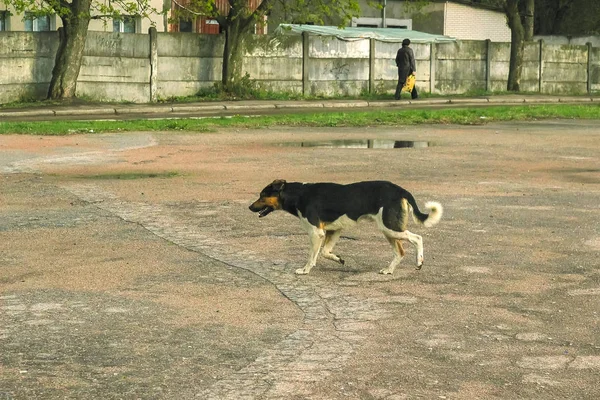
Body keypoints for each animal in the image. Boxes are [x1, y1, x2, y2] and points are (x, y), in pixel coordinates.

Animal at [248, 179, 440, 276]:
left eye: (262, 195)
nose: (250, 207)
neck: (298, 195)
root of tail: (401, 190)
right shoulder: (334, 230)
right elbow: (325, 252)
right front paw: (339, 259)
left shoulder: (316, 233)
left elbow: (312, 256)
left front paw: (305, 270)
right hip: (389, 231)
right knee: (400, 252)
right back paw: (389, 270)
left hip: (390, 227)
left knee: (417, 238)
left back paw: (419, 262)